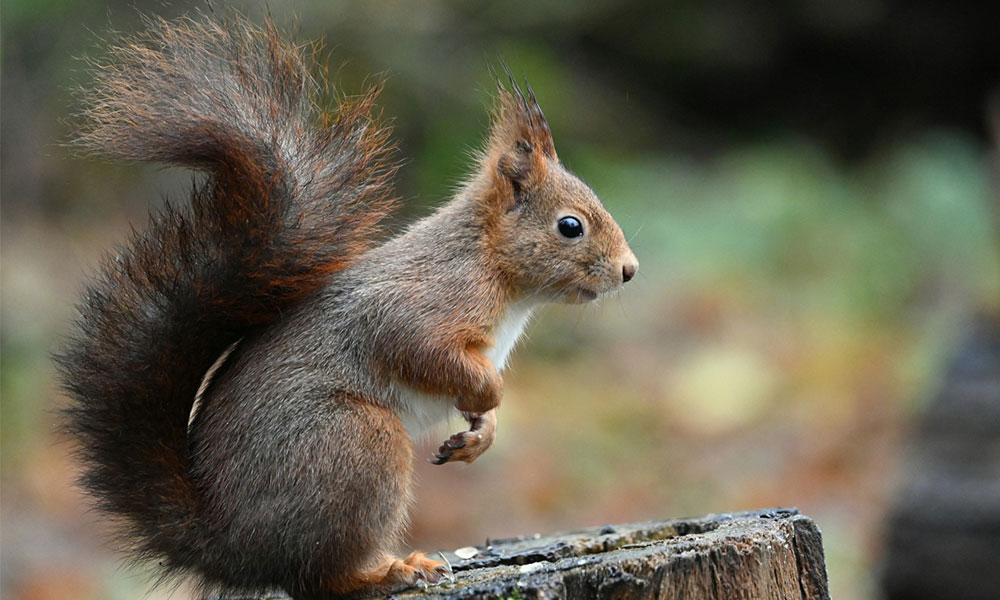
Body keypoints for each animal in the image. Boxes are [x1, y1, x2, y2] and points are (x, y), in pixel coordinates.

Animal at [58, 13, 638, 600]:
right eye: (570, 226)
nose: (629, 270)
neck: (494, 268)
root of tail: (230, 544)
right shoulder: (422, 304)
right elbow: (421, 349)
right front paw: (490, 395)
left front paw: (479, 434)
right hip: (355, 442)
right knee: (322, 576)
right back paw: (394, 570)